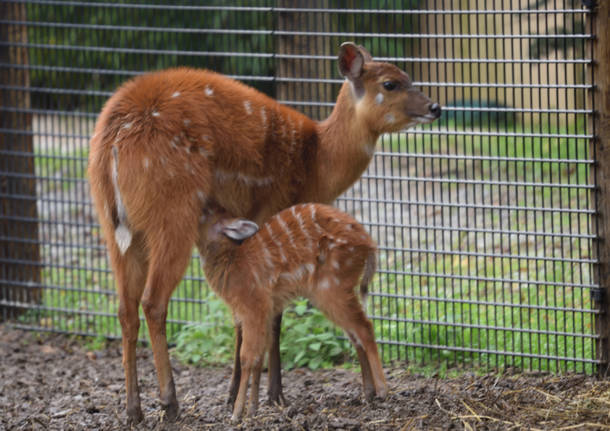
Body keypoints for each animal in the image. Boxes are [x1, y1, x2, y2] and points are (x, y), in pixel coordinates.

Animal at [200, 203, 388, 422]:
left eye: (205, 213)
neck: (233, 264)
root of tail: (369, 243)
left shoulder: (253, 306)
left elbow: (247, 357)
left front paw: (237, 413)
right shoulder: (266, 310)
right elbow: (259, 357)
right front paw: (253, 409)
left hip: (333, 287)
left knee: (365, 327)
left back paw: (382, 390)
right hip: (330, 293)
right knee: (354, 333)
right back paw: (368, 392)